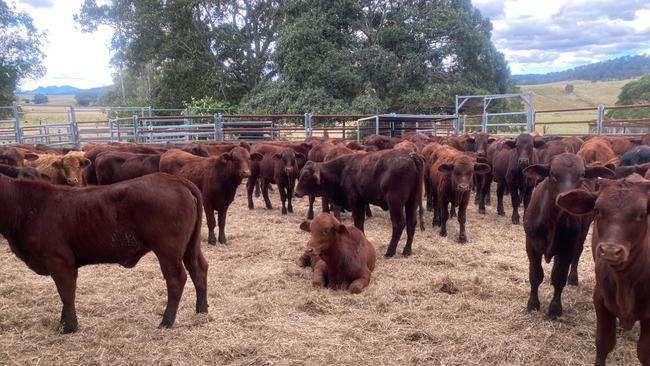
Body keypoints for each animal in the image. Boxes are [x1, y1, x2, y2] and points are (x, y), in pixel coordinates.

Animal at [0, 173, 208, 334]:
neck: (26, 207)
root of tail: (175, 179)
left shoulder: (58, 261)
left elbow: (66, 293)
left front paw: (69, 327)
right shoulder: (67, 264)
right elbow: (66, 294)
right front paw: (63, 322)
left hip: (167, 249)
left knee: (176, 278)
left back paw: (166, 321)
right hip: (190, 245)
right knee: (199, 268)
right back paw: (202, 310)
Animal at [294, 149, 426, 258]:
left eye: (306, 176)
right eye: (299, 174)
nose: (296, 192)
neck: (341, 171)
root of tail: (410, 155)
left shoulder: (356, 203)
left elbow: (358, 222)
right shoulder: (361, 203)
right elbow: (360, 222)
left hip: (395, 203)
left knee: (399, 224)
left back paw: (390, 252)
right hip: (412, 201)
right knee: (411, 222)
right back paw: (407, 251)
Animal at [520, 152, 612, 318]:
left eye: (581, 175)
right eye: (553, 174)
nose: (566, 198)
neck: (553, 221)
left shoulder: (568, 248)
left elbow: (559, 277)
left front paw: (555, 308)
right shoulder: (531, 244)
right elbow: (535, 275)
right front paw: (533, 304)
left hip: (581, 236)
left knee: (577, 254)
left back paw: (573, 278)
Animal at [556, 174, 648, 366]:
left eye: (642, 214)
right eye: (597, 210)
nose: (610, 250)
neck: (626, 281)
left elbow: (644, 353)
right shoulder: (600, 299)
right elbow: (604, 343)